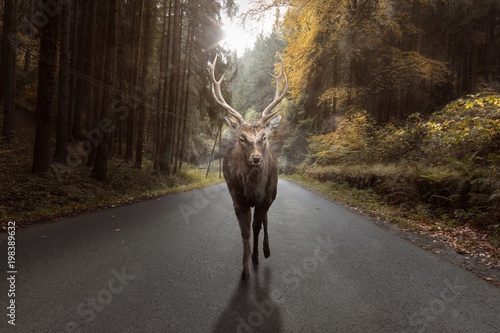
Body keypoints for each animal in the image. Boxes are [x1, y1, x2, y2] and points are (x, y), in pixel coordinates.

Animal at [211, 53, 290, 278]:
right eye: (242, 138)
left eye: (264, 137)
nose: (256, 158)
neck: (253, 189)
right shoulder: (237, 198)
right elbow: (245, 231)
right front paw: (244, 269)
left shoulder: (267, 196)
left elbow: (256, 226)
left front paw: (256, 257)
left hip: (273, 192)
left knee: (264, 221)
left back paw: (265, 251)